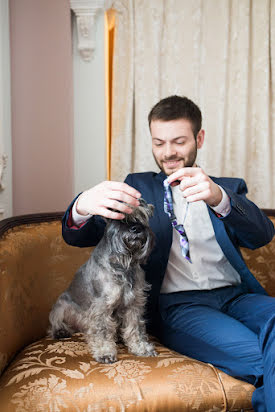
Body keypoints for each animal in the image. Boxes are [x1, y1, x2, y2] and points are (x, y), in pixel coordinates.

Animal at [48, 200, 157, 364]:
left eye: (142, 216)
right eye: (118, 216)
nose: (136, 228)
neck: (123, 264)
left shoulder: (134, 305)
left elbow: (136, 328)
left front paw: (141, 347)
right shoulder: (101, 307)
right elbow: (103, 331)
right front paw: (105, 352)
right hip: (62, 306)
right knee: (56, 324)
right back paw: (61, 331)